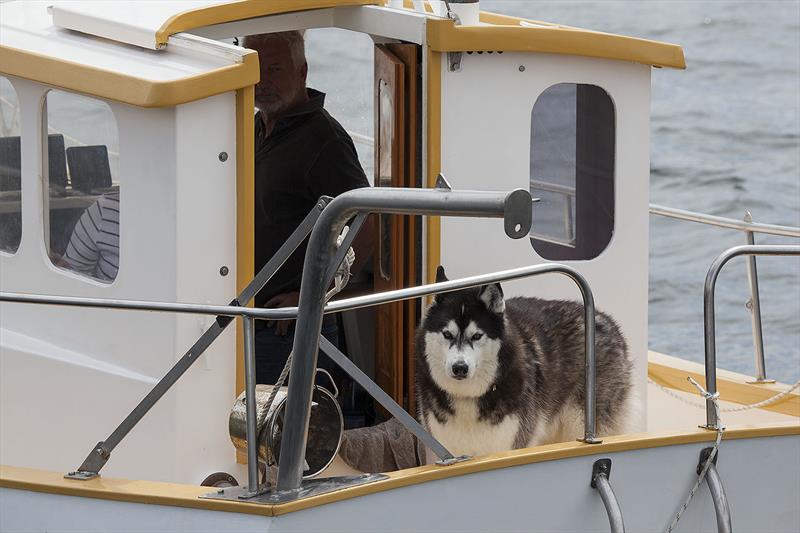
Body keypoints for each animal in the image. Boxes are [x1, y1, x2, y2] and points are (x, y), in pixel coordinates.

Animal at [416, 264, 636, 456]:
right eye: (447, 334)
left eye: (477, 336)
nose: (459, 368)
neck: (469, 396)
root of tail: (605, 320)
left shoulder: (509, 444)